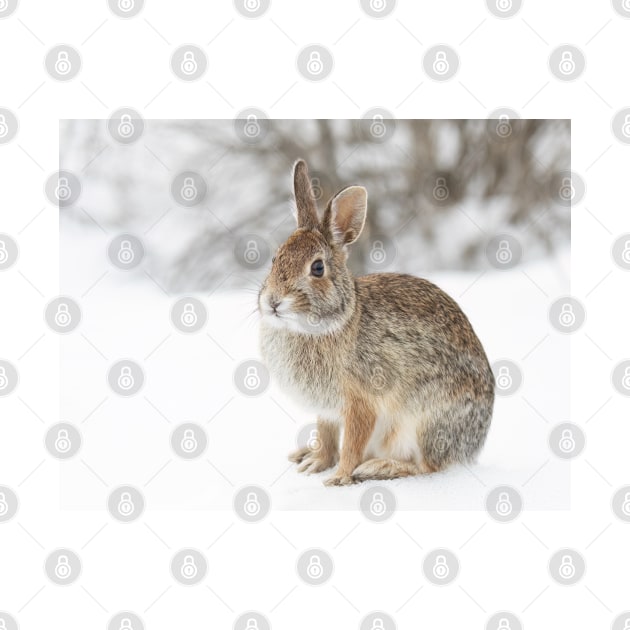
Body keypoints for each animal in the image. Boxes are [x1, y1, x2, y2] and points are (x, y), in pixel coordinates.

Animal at [260, 160, 496, 486]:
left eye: (317, 268)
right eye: (275, 259)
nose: (272, 302)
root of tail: (473, 446)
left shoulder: (362, 402)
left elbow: (352, 443)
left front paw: (338, 478)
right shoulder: (328, 411)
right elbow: (327, 435)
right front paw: (316, 462)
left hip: (425, 423)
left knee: (429, 466)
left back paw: (380, 468)